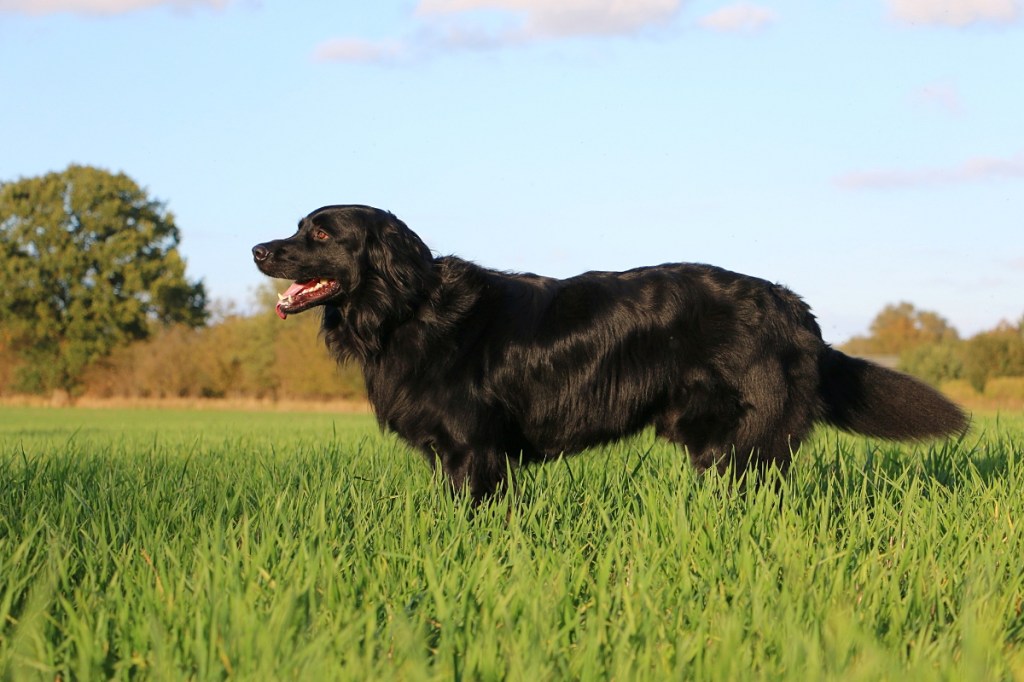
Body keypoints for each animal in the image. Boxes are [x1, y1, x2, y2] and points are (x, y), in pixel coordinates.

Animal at [253, 204, 966, 497]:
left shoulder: (472, 450)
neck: (408, 309)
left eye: (321, 233)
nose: (258, 249)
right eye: (297, 225)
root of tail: (795, 309)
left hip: (747, 442)